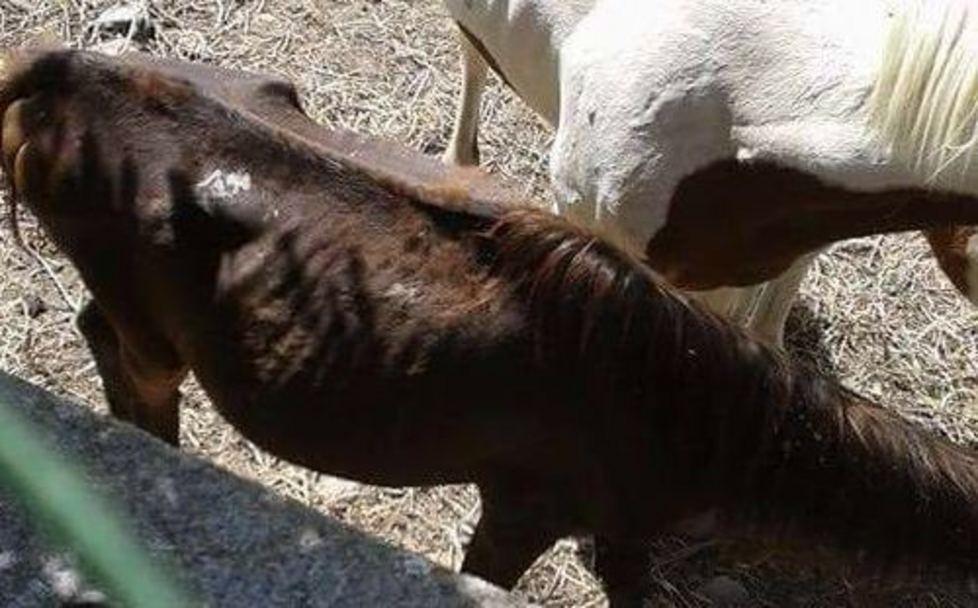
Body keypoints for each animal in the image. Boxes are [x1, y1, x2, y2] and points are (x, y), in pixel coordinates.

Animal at [4, 47, 978, 606]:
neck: (699, 405)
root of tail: (59, 77)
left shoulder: (625, 526)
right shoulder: (525, 510)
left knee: (99, 333)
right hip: (151, 333)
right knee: (135, 367)